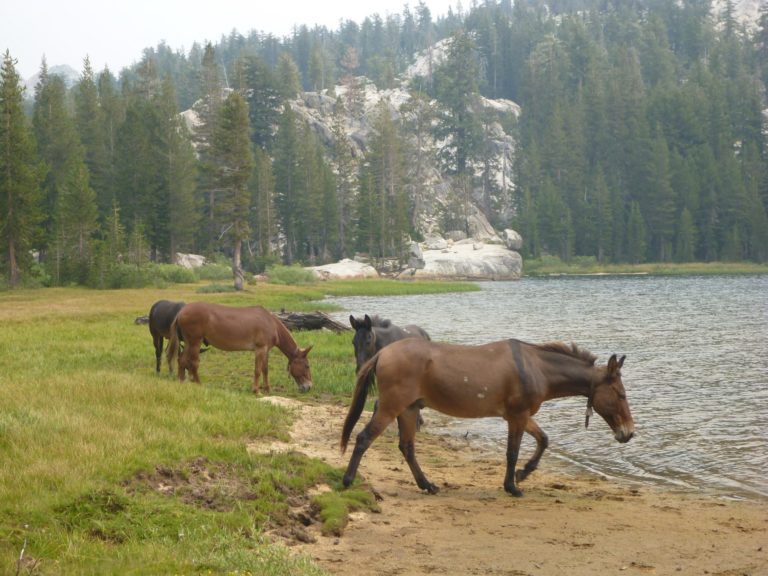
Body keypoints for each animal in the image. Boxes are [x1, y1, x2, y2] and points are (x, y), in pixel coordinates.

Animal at [167, 302, 312, 396]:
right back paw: (198, 384)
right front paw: (256, 391)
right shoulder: (260, 349)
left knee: (182, 360)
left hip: (188, 342)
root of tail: (181, 311)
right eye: (307, 366)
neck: (271, 323)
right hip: (195, 342)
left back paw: (181, 382)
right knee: (193, 363)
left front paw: (267, 389)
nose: (309, 387)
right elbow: (257, 371)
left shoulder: (266, 351)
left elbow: (265, 370)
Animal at [342, 338, 636, 496]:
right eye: (621, 394)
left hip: (409, 409)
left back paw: (427, 485)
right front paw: (512, 486)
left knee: (407, 447)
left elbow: (543, 440)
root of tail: (383, 352)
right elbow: (512, 452)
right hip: (392, 407)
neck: (536, 368)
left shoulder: (520, 415)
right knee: (364, 438)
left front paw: (523, 474)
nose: (629, 432)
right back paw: (347, 480)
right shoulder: (517, 416)